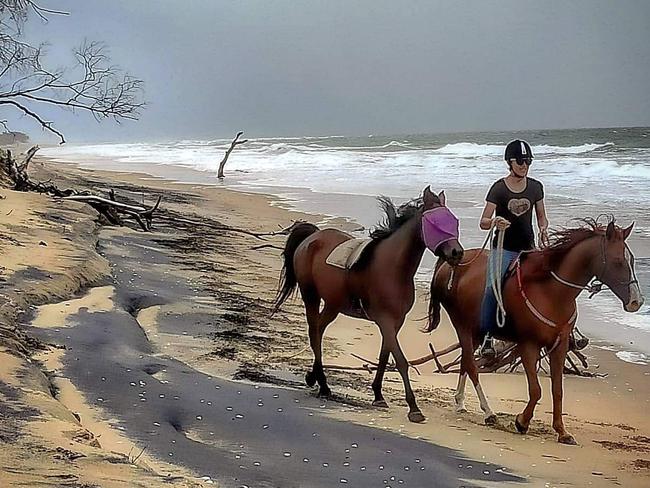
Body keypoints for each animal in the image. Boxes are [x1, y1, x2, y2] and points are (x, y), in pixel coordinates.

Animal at [270, 185, 464, 422]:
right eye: (435, 223)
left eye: (453, 221)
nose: (457, 253)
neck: (393, 267)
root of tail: (313, 235)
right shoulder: (385, 320)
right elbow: (400, 360)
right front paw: (414, 408)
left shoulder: (396, 321)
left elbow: (384, 357)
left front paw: (378, 395)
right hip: (311, 296)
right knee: (314, 331)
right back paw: (323, 385)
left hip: (333, 305)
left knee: (319, 330)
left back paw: (314, 376)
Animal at [426, 219, 644, 444]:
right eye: (618, 262)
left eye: (632, 261)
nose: (636, 302)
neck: (552, 292)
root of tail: (448, 264)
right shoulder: (528, 345)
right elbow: (536, 390)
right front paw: (522, 422)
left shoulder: (559, 346)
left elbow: (557, 390)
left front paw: (562, 431)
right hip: (462, 324)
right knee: (471, 364)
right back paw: (488, 413)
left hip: (475, 332)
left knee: (465, 362)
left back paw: (460, 402)